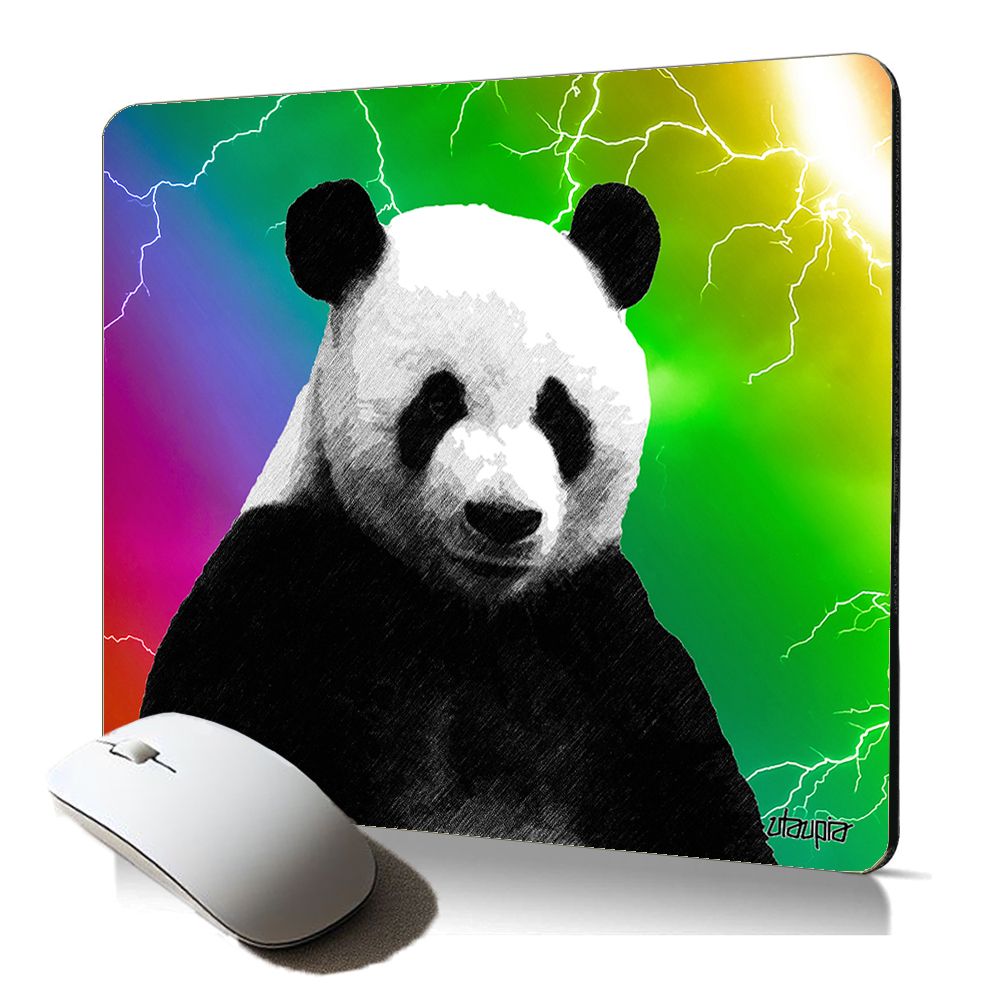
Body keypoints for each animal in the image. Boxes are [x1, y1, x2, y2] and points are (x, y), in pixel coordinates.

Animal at [141, 179, 775, 864]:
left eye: (559, 412)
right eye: (439, 400)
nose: (503, 518)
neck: (471, 613)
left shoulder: (597, 625)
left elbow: (694, 774)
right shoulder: (283, 582)